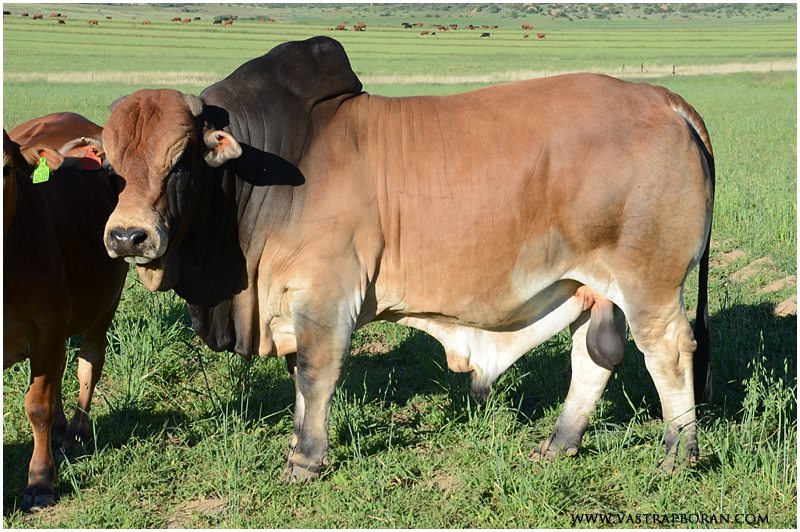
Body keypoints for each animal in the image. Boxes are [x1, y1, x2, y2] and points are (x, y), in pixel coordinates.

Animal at [4, 113, 127, 511]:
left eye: (6, 169)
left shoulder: (47, 326)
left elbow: (38, 405)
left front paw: (41, 480)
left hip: (105, 301)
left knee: (88, 363)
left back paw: (73, 432)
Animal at [101, 36, 714, 483]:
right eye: (110, 164)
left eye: (180, 159)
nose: (128, 237)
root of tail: (661, 97)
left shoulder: (324, 297)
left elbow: (314, 376)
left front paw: (304, 462)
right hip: (591, 286)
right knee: (593, 358)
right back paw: (557, 446)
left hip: (650, 285)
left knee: (669, 352)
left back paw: (676, 456)